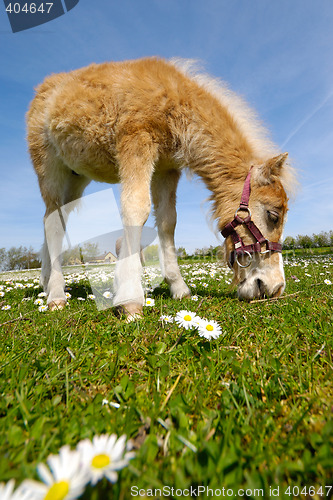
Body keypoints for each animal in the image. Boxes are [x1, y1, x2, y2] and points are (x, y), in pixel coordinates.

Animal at [27, 55, 294, 320]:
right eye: (273, 215)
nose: (275, 288)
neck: (174, 103)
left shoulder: (166, 169)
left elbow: (167, 221)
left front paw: (178, 287)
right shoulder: (136, 141)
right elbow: (137, 208)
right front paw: (130, 298)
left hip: (76, 177)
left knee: (54, 218)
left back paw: (46, 281)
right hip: (48, 165)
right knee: (53, 222)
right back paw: (56, 295)